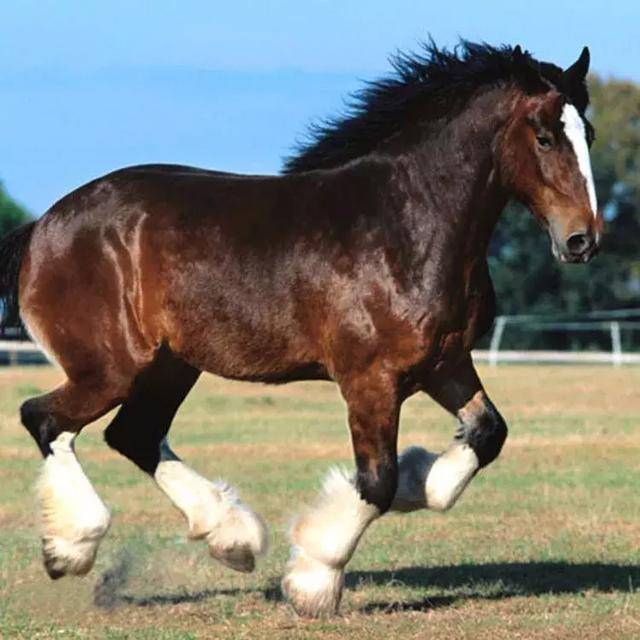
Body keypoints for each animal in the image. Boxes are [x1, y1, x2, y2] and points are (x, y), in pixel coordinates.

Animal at [0, 38, 600, 616]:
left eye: (588, 132)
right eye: (545, 137)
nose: (581, 240)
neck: (407, 225)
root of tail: (41, 229)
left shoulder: (445, 364)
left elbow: (486, 434)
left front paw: (419, 481)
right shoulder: (370, 380)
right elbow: (376, 482)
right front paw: (314, 579)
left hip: (171, 366)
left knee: (133, 434)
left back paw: (232, 538)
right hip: (111, 369)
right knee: (45, 419)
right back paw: (71, 548)